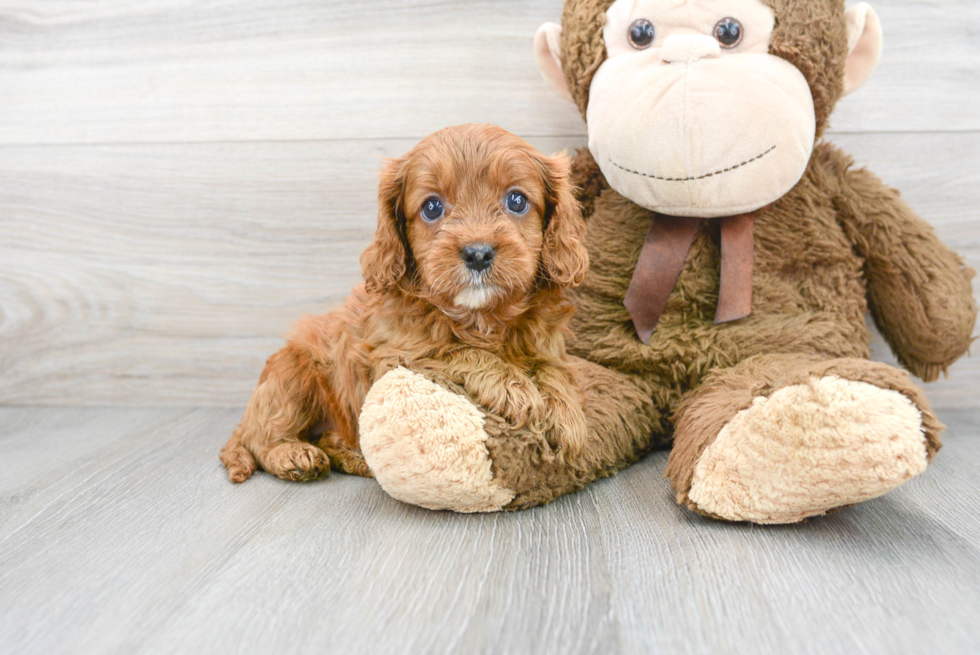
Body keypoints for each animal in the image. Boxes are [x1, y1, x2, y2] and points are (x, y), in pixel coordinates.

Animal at [220, 124, 588, 482]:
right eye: (432, 207)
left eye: (516, 201)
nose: (478, 253)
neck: (480, 317)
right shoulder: (397, 356)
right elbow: (458, 351)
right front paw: (517, 389)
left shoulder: (548, 347)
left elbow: (554, 371)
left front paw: (567, 417)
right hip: (293, 376)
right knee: (261, 438)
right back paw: (292, 455)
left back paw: (353, 457)